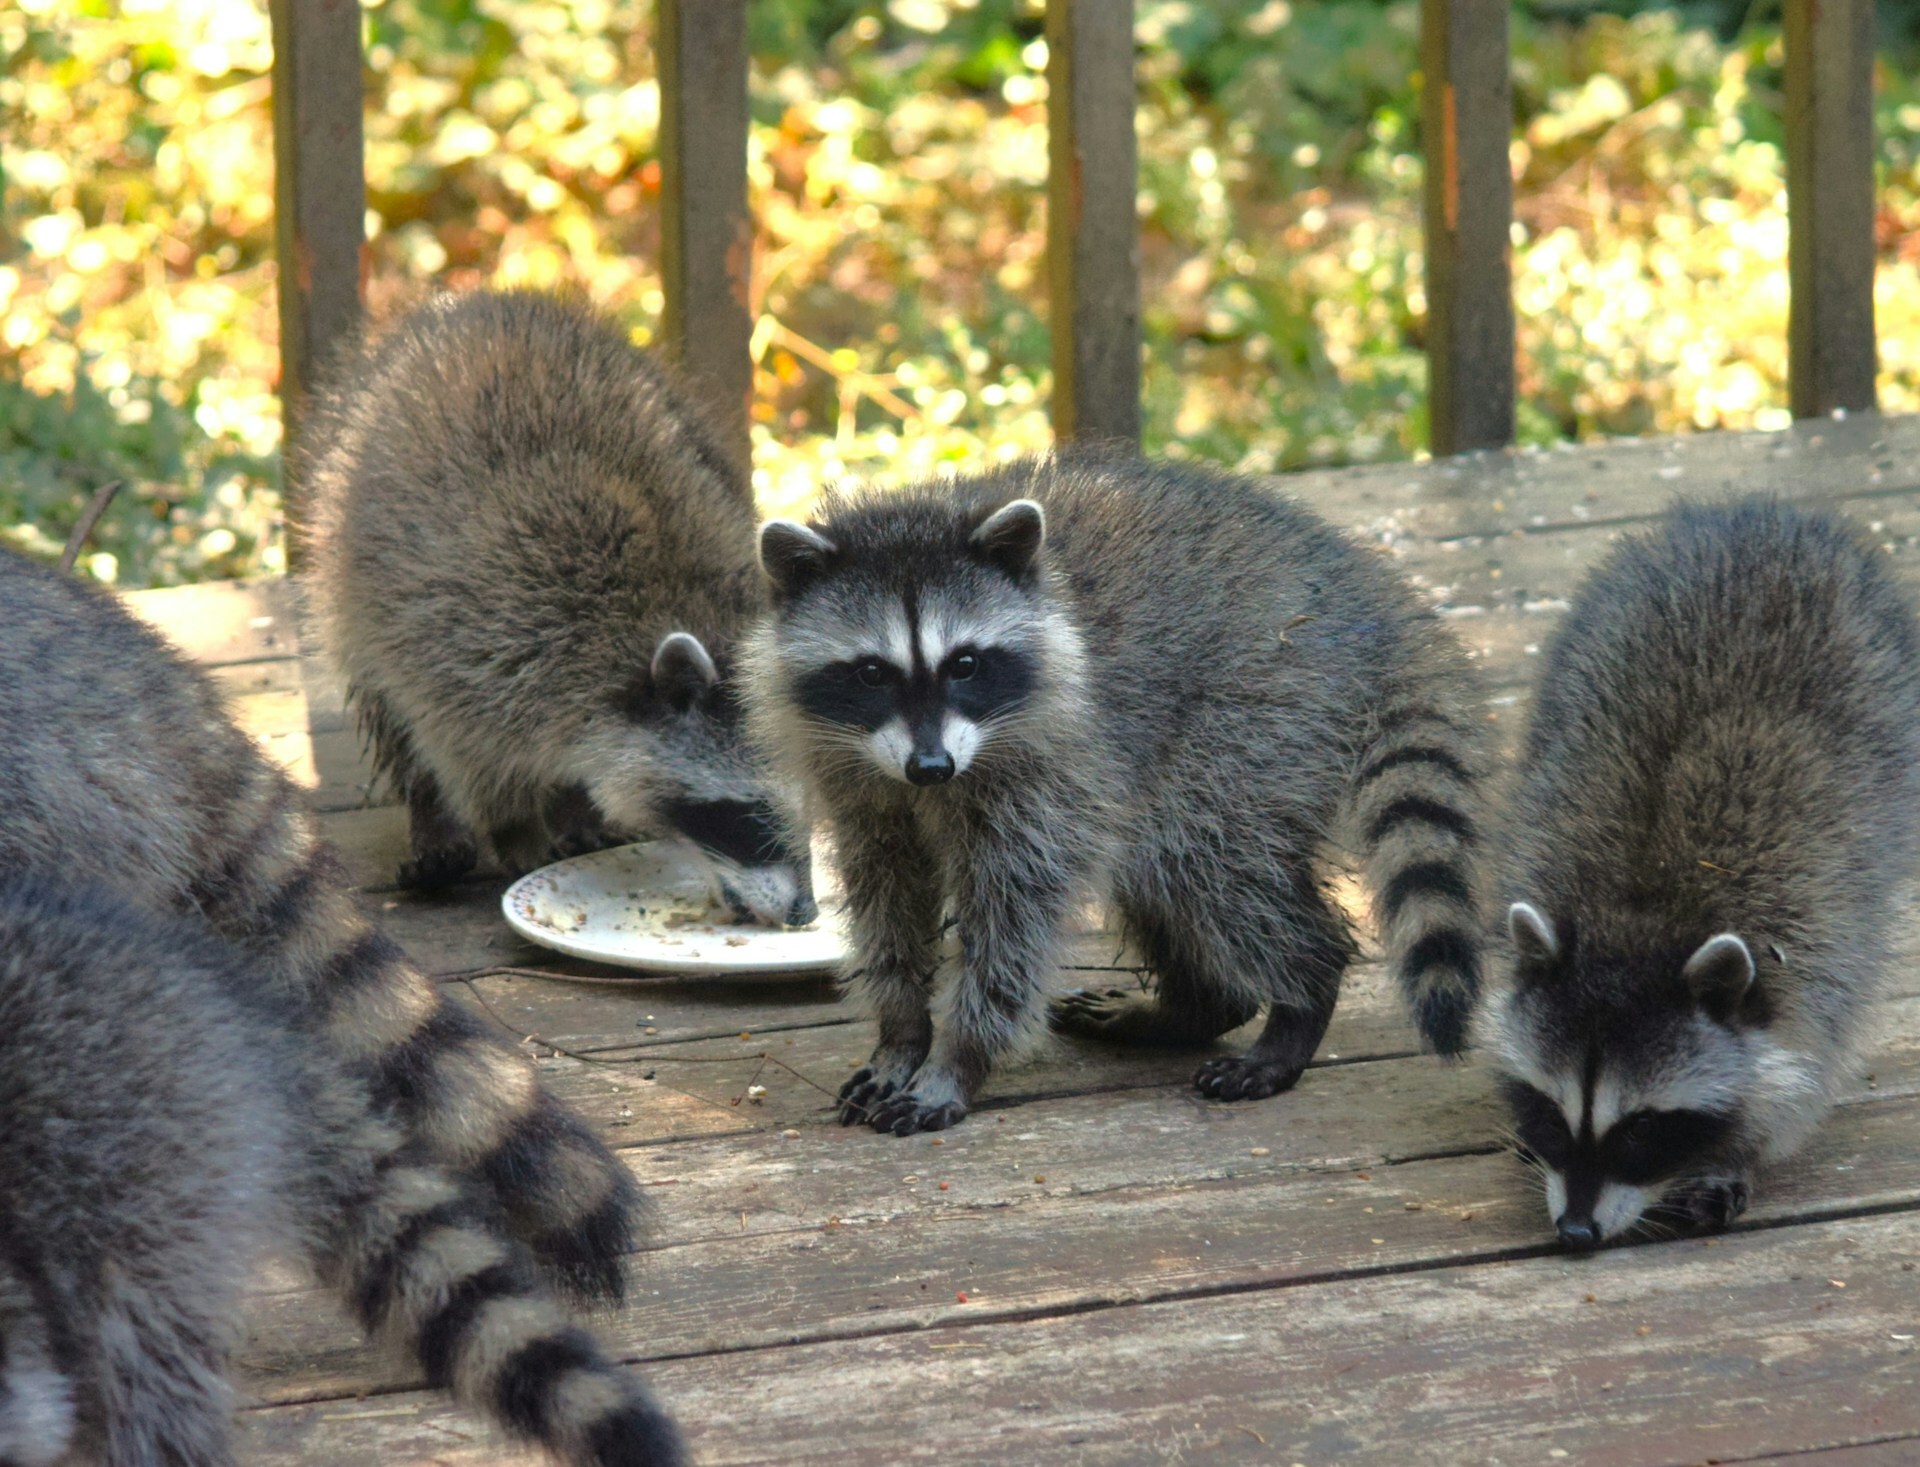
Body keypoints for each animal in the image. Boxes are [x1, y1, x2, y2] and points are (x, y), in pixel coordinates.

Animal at [300, 289, 814, 926]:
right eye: (751, 815)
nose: (806, 913)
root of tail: (485, 303)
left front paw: (575, 806)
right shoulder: (476, 632)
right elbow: (468, 748)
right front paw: (514, 827)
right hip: (349, 556)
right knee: (385, 695)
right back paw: (433, 811)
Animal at [746, 454, 1490, 1134]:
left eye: (965, 664)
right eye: (872, 673)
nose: (932, 767)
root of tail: (1370, 597)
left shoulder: (1052, 764)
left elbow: (1015, 915)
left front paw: (958, 1056)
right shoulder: (858, 779)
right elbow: (887, 896)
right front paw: (901, 1032)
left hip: (1259, 709)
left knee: (1213, 864)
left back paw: (1303, 993)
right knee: (1167, 876)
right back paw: (1197, 1006)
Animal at [1487, 497, 1920, 1250]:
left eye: (1641, 1130)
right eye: (1553, 1114)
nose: (1576, 1232)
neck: (1636, 919)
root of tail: (1758, 513)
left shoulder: (1819, 938)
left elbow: (1808, 1056)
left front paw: (1734, 1153)